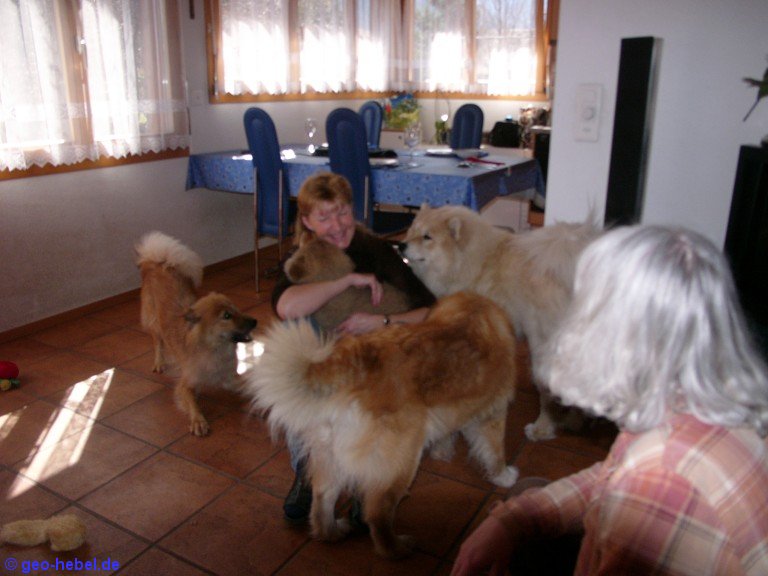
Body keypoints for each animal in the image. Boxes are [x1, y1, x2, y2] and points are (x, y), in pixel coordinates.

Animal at [136, 231, 257, 436]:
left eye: (236, 310)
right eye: (226, 316)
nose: (255, 322)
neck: (214, 349)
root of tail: (157, 262)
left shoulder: (230, 378)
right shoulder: (186, 384)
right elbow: (191, 401)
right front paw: (198, 420)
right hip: (153, 320)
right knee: (157, 341)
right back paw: (159, 362)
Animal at [246, 291, 518, 558]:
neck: (474, 307)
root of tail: (350, 365)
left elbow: (448, 434)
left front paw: (443, 453)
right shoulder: (493, 413)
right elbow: (495, 453)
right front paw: (504, 477)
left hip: (330, 455)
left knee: (323, 498)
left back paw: (331, 532)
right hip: (400, 463)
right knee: (377, 514)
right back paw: (396, 548)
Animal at [400, 204, 599, 441]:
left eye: (427, 237)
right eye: (412, 230)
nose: (401, 245)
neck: (471, 260)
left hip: (542, 345)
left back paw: (542, 427)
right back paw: (576, 421)